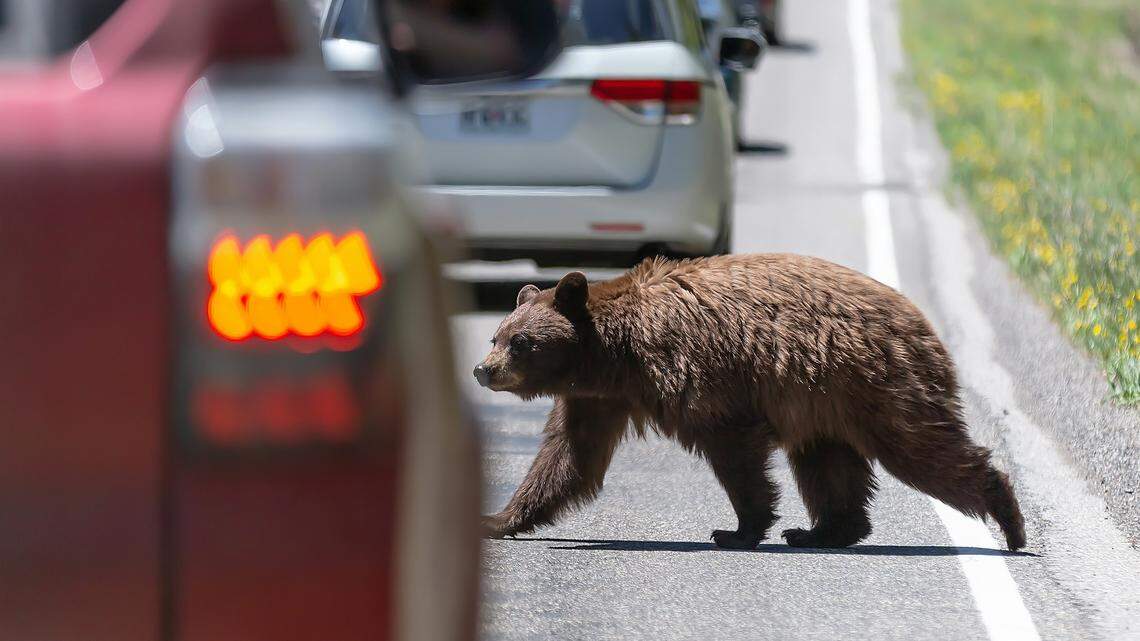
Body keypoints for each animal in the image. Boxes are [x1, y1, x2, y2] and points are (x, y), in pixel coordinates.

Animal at [473, 254, 1026, 551]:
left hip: (873, 384)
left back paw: (1010, 520)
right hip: (828, 402)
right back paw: (821, 531)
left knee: (921, 450)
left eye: (520, 341)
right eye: (498, 335)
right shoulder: (596, 398)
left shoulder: (699, 377)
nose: (483, 369)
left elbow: (734, 451)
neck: (616, 354)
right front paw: (498, 519)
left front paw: (738, 528)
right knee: (829, 463)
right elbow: (568, 457)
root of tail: (922, 323)